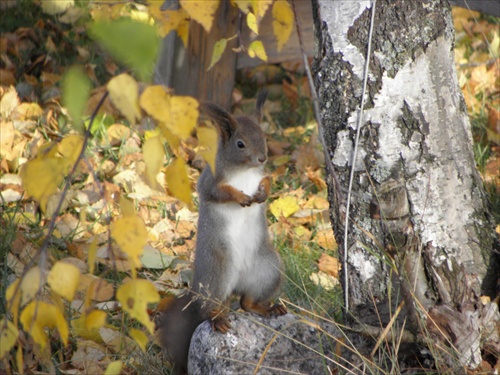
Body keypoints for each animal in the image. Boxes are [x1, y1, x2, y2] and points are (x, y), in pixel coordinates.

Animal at [158, 90, 288, 374]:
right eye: (240, 144)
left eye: (265, 137)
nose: (263, 158)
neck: (244, 171)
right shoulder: (209, 182)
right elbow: (219, 192)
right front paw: (240, 196)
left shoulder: (262, 175)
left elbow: (268, 181)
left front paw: (261, 193)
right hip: (217, 271)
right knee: (209, 309)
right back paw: (217, 319)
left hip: (268, 269)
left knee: (246, 303)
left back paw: (266, 308)